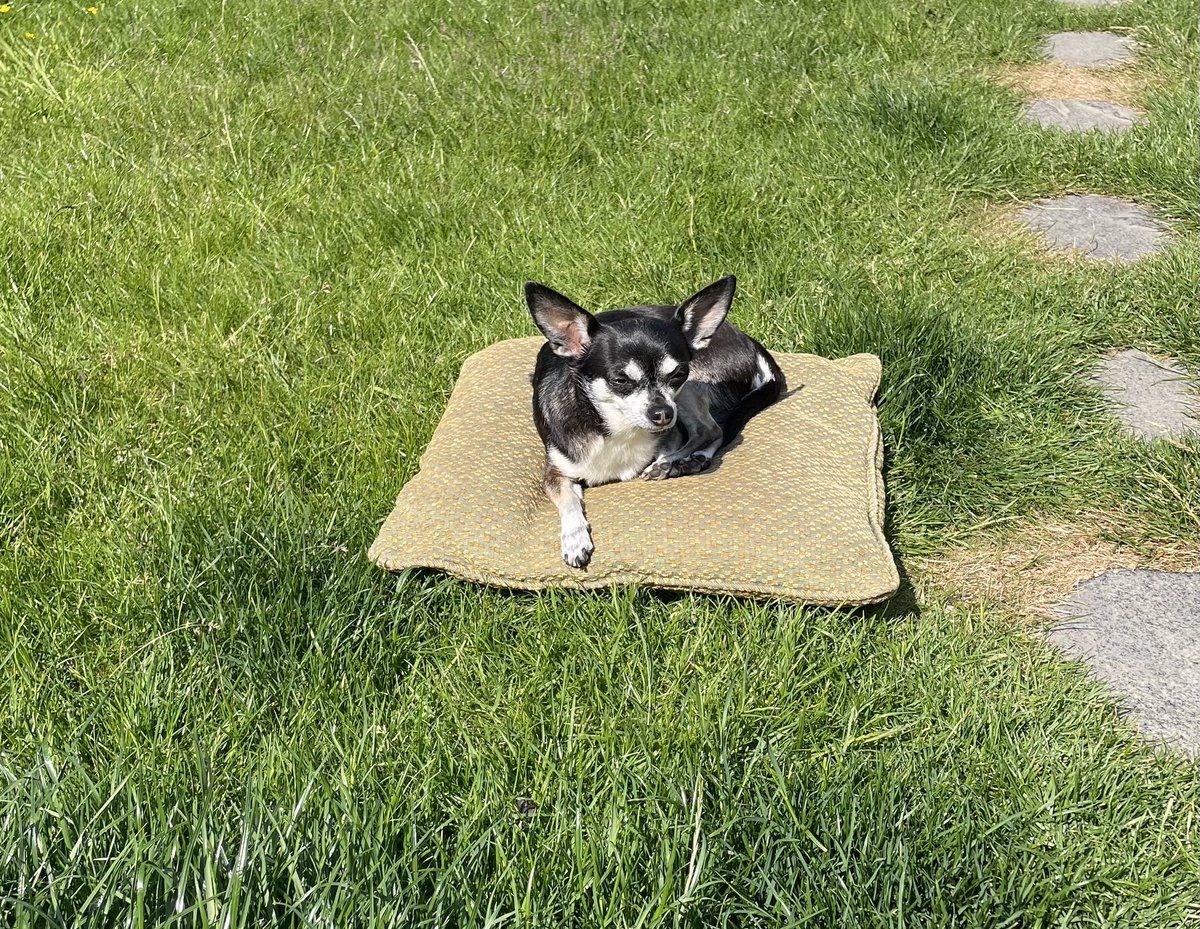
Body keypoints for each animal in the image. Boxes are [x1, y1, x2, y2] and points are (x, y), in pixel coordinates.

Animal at [530, 276, 782, 566]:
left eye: (678, 374)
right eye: (620, 380)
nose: (662, 413)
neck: (618, 429)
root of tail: (749, 340)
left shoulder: (672, 425)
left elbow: (672, 446)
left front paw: (666, 462)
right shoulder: (555, 474)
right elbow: (569, 501)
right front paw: (574, 538)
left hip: (693, 386)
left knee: (711, 430)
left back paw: (679, 462)